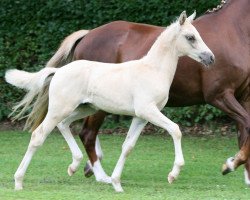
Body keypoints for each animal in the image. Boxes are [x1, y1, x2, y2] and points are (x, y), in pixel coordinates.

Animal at [5, 11, 215, 192]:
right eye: (190, 37)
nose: (211, 58)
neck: (153, 70)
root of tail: (59, 71)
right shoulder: (148, 110)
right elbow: (176, 130)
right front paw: (173, 174)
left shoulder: (141, 117)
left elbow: (127, 147)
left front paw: (116, 183)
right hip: (61, 109)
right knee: (38, 135)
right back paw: (18, 181)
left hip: (85, 109)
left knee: (64, 125)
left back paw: (75, 165)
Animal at [31, 0, 250, 184]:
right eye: (190, 37)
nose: (210, 58)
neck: (234, 32)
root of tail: (87, 35)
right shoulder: (219, 96)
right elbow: (246, 125)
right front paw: (230, 165)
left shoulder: (242, 97)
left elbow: (243, 132)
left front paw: (242, 172)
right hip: (97, 107)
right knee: (87, 133)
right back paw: (99, 174)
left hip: (89, 106)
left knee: (75, 128)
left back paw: (87, 167)